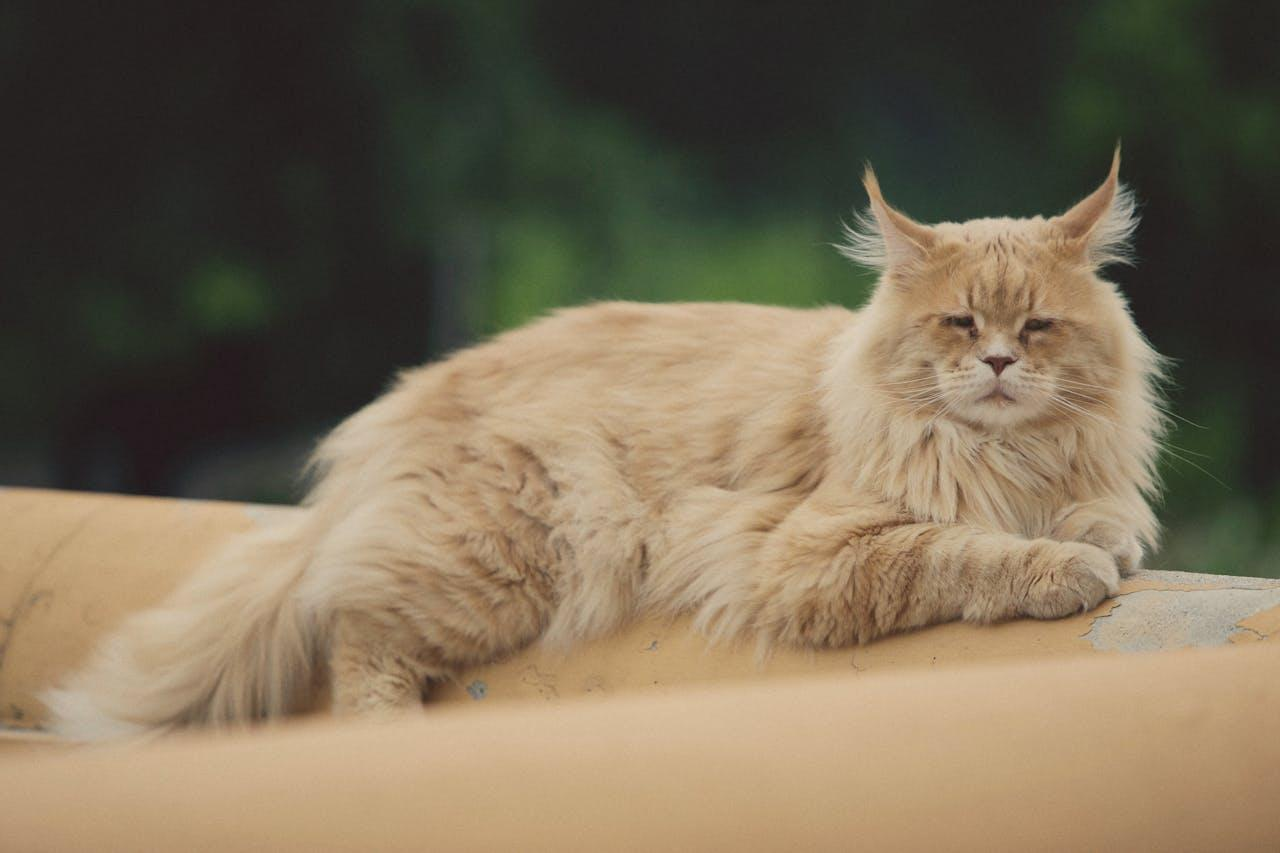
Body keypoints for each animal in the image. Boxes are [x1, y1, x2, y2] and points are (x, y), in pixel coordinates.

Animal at [42, 147, 1162, 737]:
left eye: (1037, 328)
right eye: (959, 325)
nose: (999, 366)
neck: (1007, 455)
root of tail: (403, 406)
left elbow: (1091, 516)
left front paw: (1095, 533)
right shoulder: (807, 551)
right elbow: (962, 550)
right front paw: (1062, 564)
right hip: (503, 555)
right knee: (355, 630)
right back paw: (388, 734)